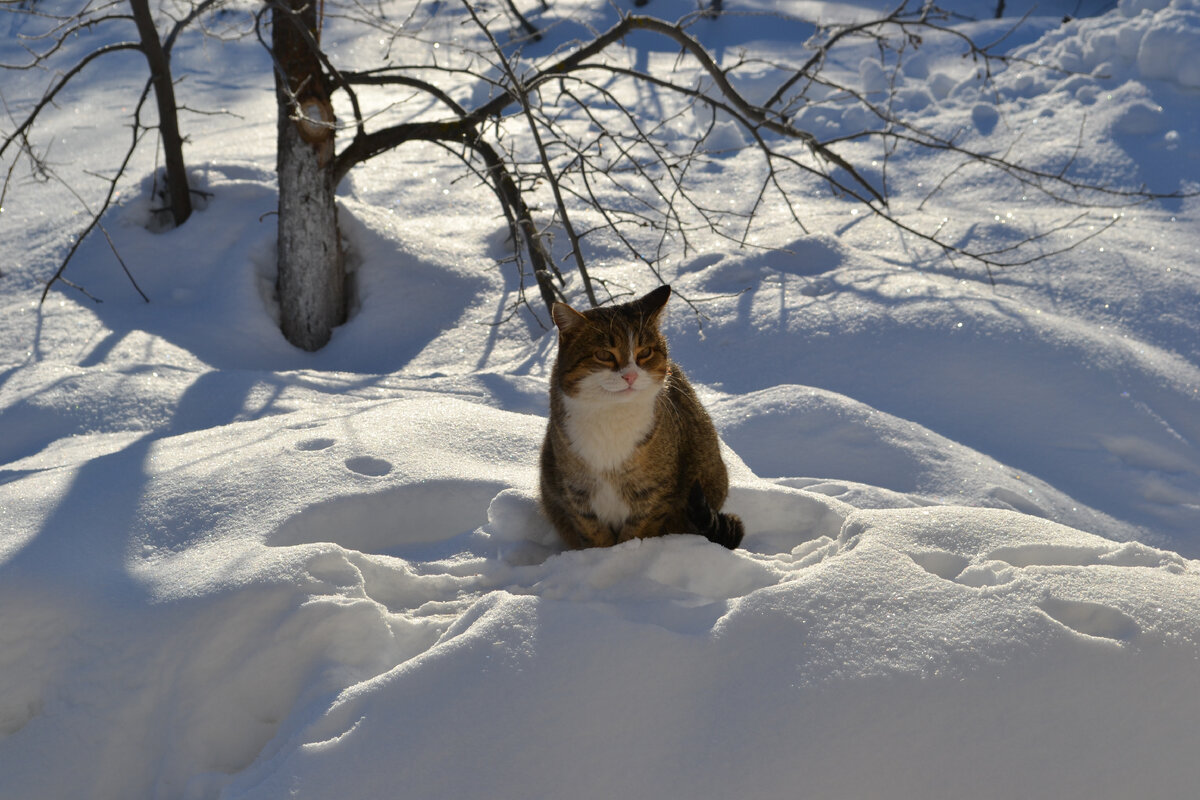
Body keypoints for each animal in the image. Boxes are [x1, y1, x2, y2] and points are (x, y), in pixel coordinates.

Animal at [542, 286, 744, 551]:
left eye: (645, 352)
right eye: (604, 354)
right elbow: (594, 535)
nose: (630, 376)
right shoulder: (576, 491)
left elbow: (636, 531)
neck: (612, 417)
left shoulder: (653, 492)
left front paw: (625, 554)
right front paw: (600, 556)